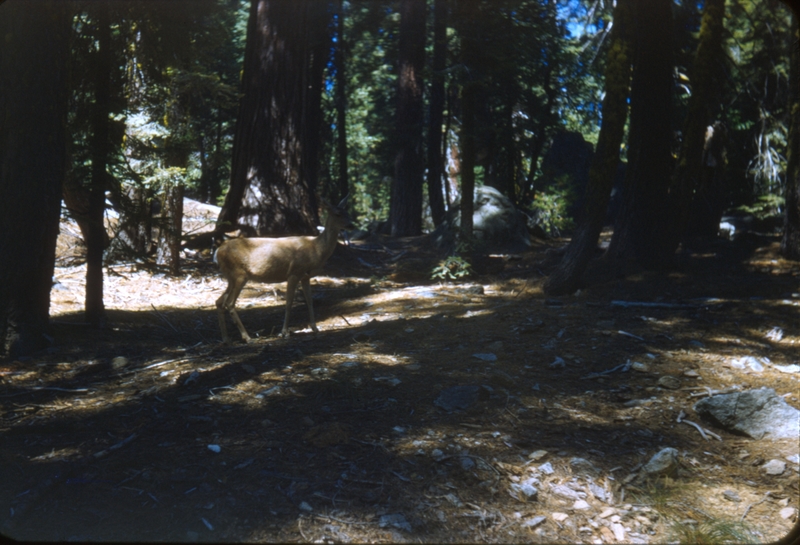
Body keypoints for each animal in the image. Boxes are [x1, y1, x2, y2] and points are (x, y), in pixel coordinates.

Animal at [214, 193, 352, 342]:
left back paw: (225, 338)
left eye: (347, 213)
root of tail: (218, 251)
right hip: (239, 274)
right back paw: (247, 337)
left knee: (219, 301)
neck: (316, 249)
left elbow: (309, 301)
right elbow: (289, 302)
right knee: (229, 303)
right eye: (338, 214)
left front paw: (315, 328)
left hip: (231, 277)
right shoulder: (293, 273)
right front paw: (284, 332)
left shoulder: (305, 276)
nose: (351, 225)